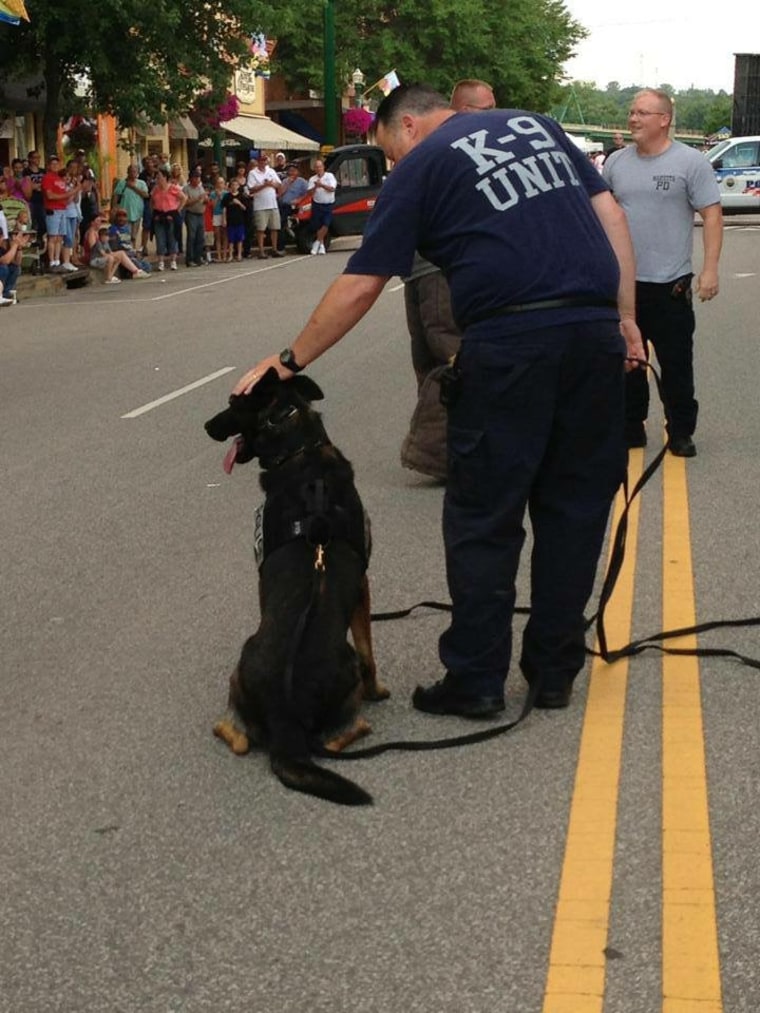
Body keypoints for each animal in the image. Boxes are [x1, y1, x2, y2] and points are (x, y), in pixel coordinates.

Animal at [205, 368, 389, 802]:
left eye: (232, 403)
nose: (206, 426)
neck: (299, 447)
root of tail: (285, 718)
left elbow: (370, 653)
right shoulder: (362, 585)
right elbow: (370, 654)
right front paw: (376, 692)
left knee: (240, 735)